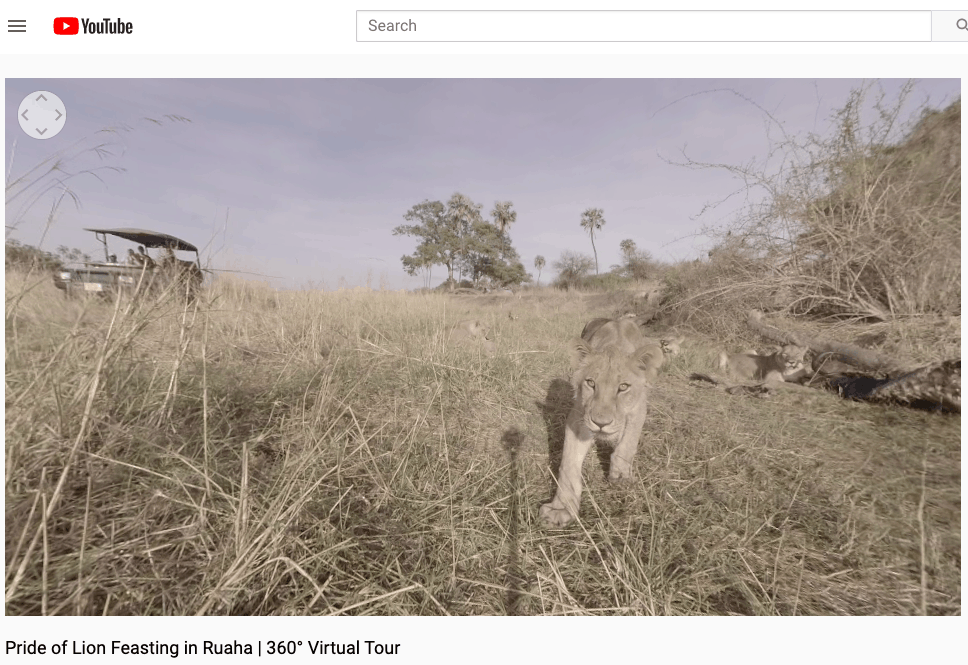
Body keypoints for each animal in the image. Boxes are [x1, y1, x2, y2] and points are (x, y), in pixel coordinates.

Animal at [536, 320, 664, 528]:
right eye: (591, 383)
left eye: (623, 387)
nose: (600, 423)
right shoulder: (579, 417)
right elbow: (568, 463)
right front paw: (560, 508)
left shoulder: (638, 408)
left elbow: (627, 445)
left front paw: (620, 477)